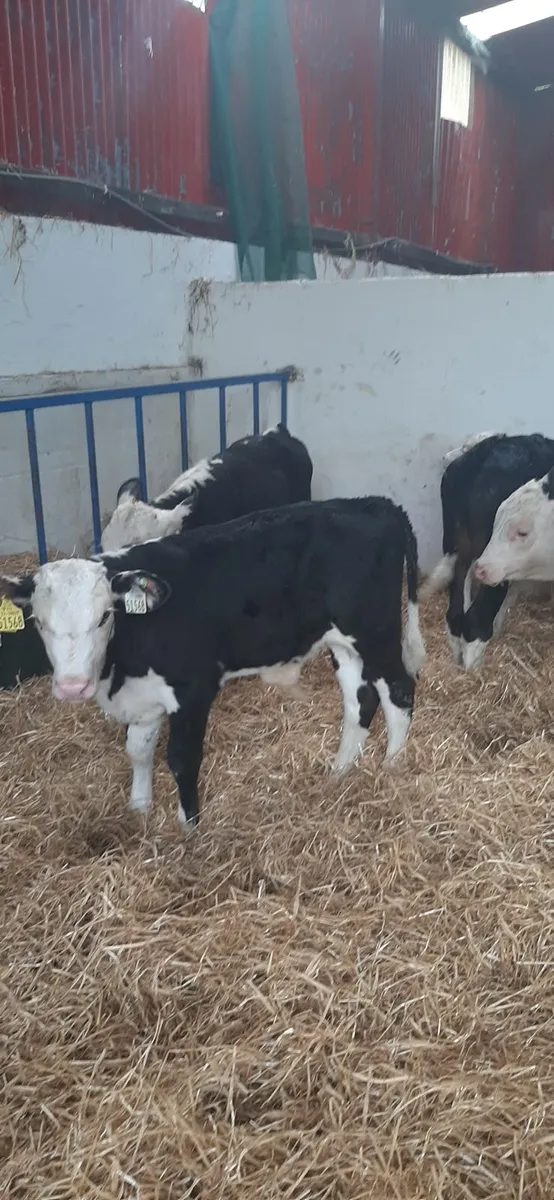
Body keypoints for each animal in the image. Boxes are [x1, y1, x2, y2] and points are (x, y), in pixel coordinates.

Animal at [1, 498, 426, 829]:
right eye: (39, 621)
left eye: (105, 616)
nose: (72, 685)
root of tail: (375, 503)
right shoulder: (143, 696)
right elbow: (138, 751)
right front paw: (139, 809)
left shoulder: (193, 690)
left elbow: (181, 759)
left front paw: (189, 828)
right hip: (343, 643)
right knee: (360, 700)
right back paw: (340, 771)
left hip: (375, 632)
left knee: (399, 691)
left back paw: (391, 768)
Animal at [422, 433, 554, 669]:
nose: (445, 457)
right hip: (491, 561)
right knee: (475, 620)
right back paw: (473, 667)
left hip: (460, 546)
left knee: (456, 612)